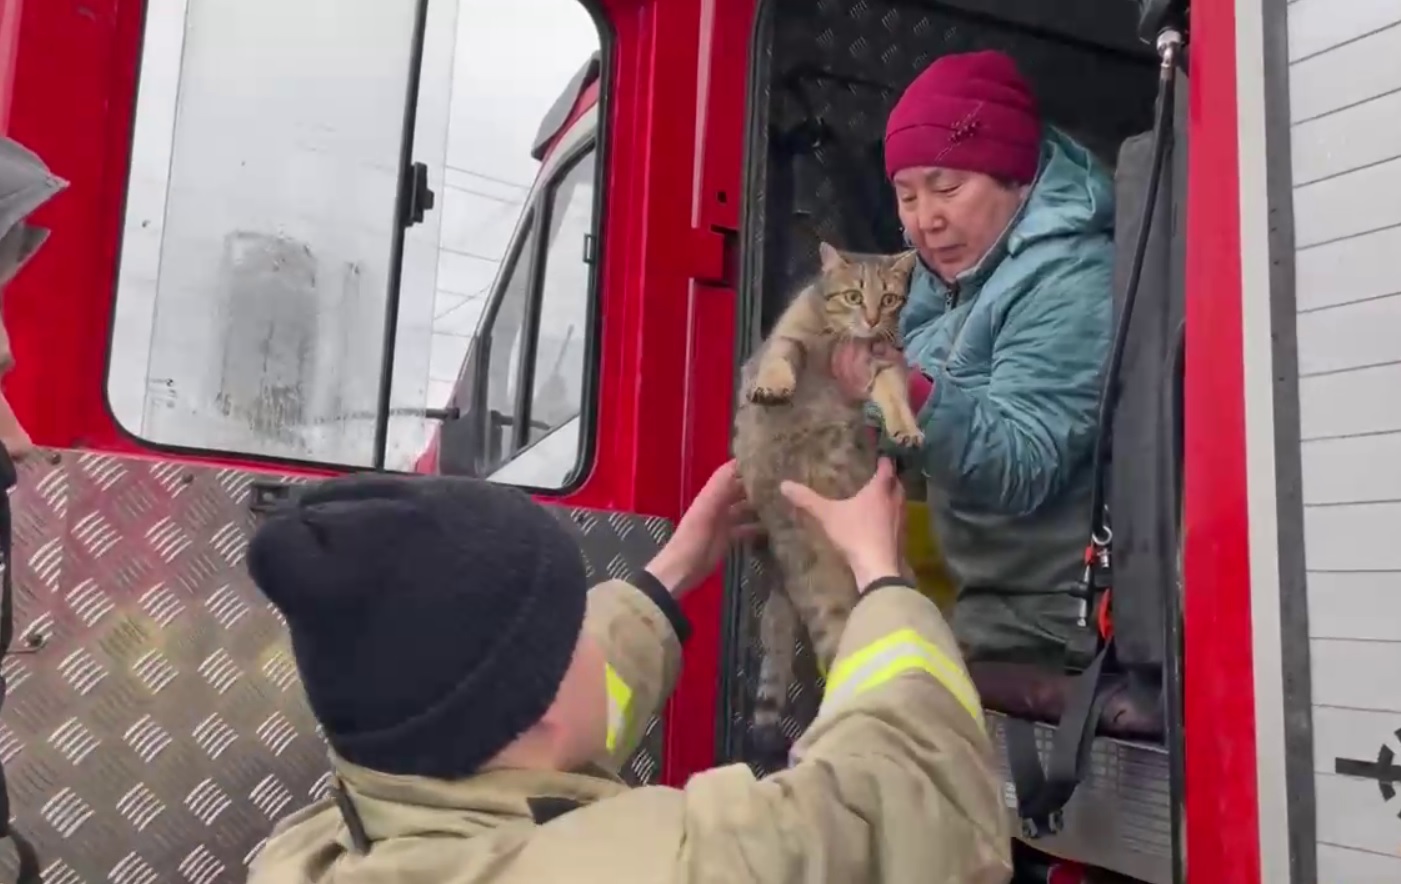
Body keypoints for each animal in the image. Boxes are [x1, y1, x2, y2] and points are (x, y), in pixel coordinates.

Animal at [734, 240, 919, 762]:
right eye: (854, 295)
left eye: (889, 298)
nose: (873, 319)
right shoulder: (789, 336)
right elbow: (779, 358)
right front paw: (774, 385)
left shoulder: (886, 362)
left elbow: (896, 397)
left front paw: (906, 428)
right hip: (821, 596)